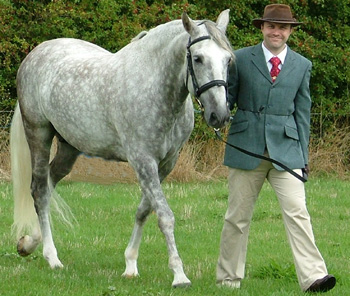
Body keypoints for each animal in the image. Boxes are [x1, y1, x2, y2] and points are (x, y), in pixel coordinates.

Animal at [10, 11, 234, 286]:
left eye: (227, 59)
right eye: (198, 58)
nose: (219, 115)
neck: (153, 87)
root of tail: (36, 53)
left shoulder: (166, 164)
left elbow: (144, 211)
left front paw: (130, 264)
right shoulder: (143, 161)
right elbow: (165, 216)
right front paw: (179, 274)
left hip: (69, 147)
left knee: (49, 184)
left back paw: (28, 243)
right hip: (39, 134)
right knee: (40, 190)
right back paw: (52, 257)